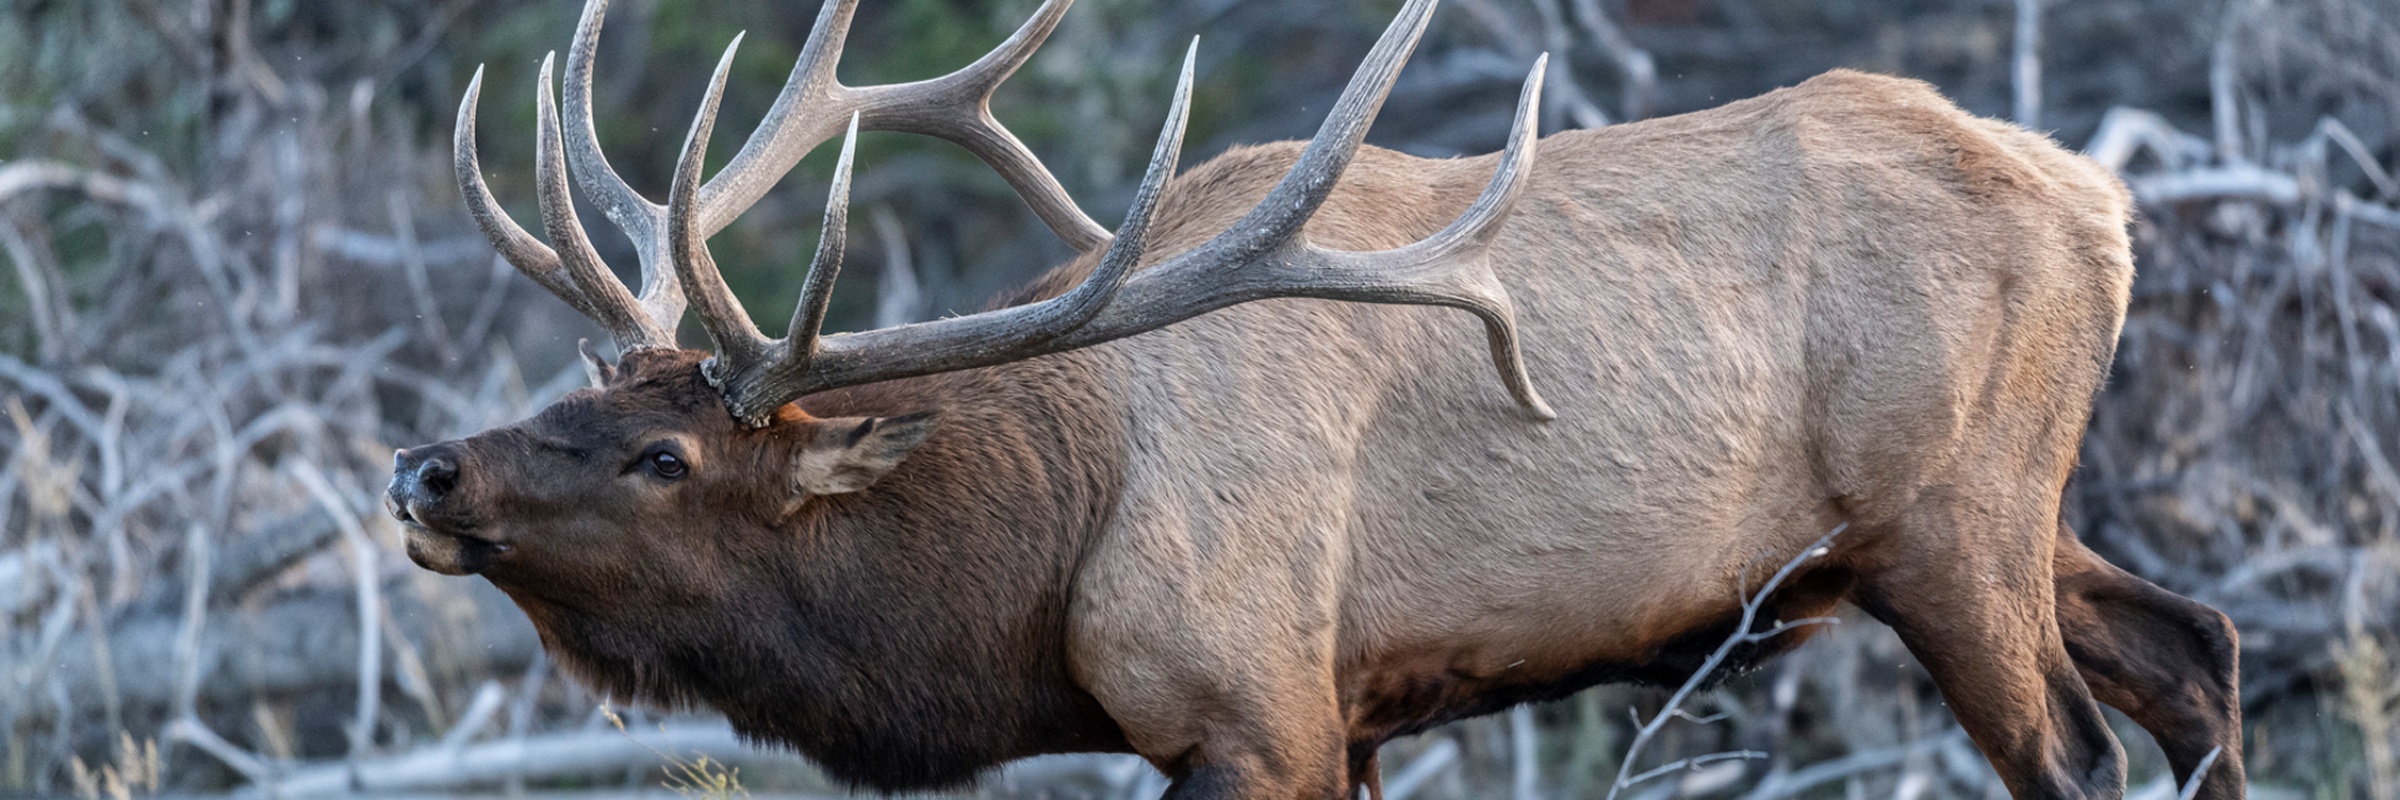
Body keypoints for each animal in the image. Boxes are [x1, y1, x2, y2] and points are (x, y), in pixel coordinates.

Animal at [388, 0, 2246, 797]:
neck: (1039, 569)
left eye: (662, 453)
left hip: (1952, 518)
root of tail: (2101, 198)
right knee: (2199, 651)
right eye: (577, 389)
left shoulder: (1252, 705)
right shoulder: (1341, 714)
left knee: (2077, 754)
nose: (426, 471)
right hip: (1987, 513)